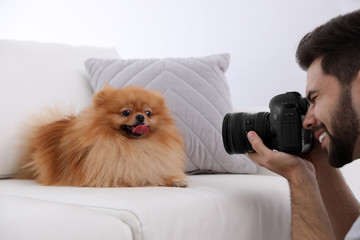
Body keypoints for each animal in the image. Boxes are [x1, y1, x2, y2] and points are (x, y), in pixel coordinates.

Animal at [17, 85, 188, 188]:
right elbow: (138, 176)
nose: (140, 117)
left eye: (148, 113)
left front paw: (176, 179)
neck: (133, 145)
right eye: (126, 112)